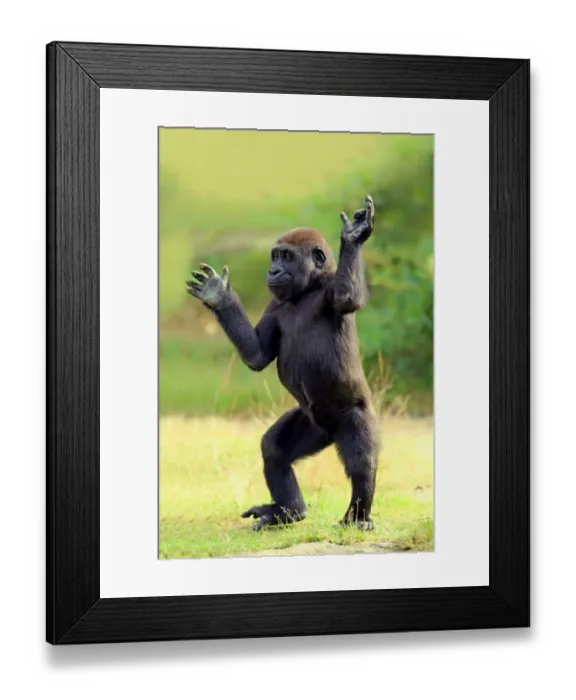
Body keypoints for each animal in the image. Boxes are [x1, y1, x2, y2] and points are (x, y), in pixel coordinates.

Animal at [186, 195, 380, 531]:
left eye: (287, 257)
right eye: (275, 256)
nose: (274, 270)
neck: (306, 290)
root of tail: (330, 432)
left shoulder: (331, 289)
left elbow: (347, 297)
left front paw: (353, 238)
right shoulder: (274, 304)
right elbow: (256, 356)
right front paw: (218, 296)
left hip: (354, 415)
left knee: (361, 460)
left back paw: (357, 517)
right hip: (315, 426)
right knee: (274, 449)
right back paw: (289, 512)